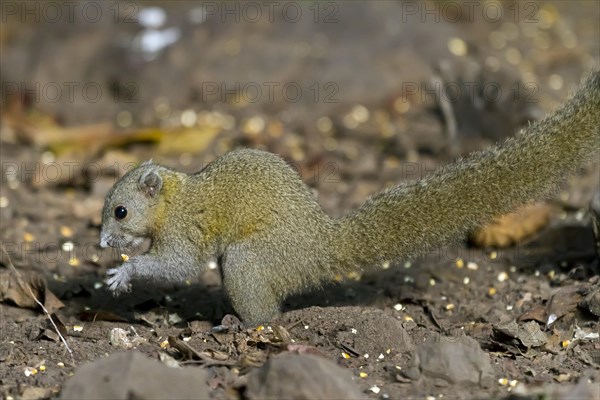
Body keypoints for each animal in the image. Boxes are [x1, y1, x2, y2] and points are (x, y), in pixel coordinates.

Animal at [101, 70, 600, 324]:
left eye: (121, 212)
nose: (104, 241)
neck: (172, 198)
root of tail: (321, 248)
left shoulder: (184, 231)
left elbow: (176, 265)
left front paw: (124, 272)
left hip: (251, 259)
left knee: (267, 311)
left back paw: (241, 326)